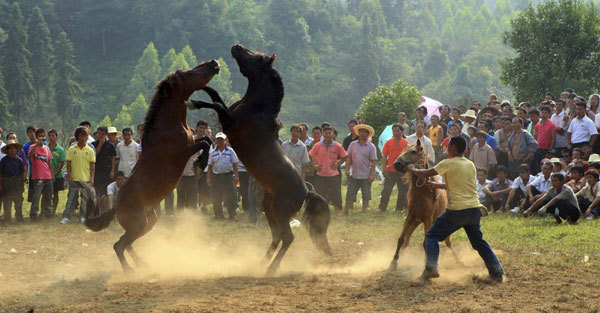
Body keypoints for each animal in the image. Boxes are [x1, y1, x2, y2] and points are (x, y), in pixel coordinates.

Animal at [81, 60, 218, 270]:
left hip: (148, 222)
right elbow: (204, 143)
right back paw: (130, 270)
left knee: (127, 244)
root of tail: (116, 205)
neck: (168, 126)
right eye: (189, 73)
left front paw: (199, 165)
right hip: (139, 223)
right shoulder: (182, 152)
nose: (213, 63)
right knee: (119, 245)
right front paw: (199, 165)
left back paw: (143, 264)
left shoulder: (191, 140)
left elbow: (207, 140)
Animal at [189, 45, 332, 274]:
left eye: (257, 56)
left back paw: (270, 269)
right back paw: (262, 262)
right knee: (277, 237)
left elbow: (216, 104)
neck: (256, 109)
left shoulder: (229, 122)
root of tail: (306, 191)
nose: (236, 47)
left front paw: (193, 102)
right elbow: (216, 97)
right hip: (269, 209)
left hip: (281, 212)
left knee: (288, 238)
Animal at [386, 140, 452, 270]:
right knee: (406, 241)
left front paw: (427, 264)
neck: (422, 193)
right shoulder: (410, 217)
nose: (397, 163)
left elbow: (425, 243)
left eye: (413, 151)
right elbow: (401, 239)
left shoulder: (428, 220)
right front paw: (394, 261)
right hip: (416, 222)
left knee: (448, 243)